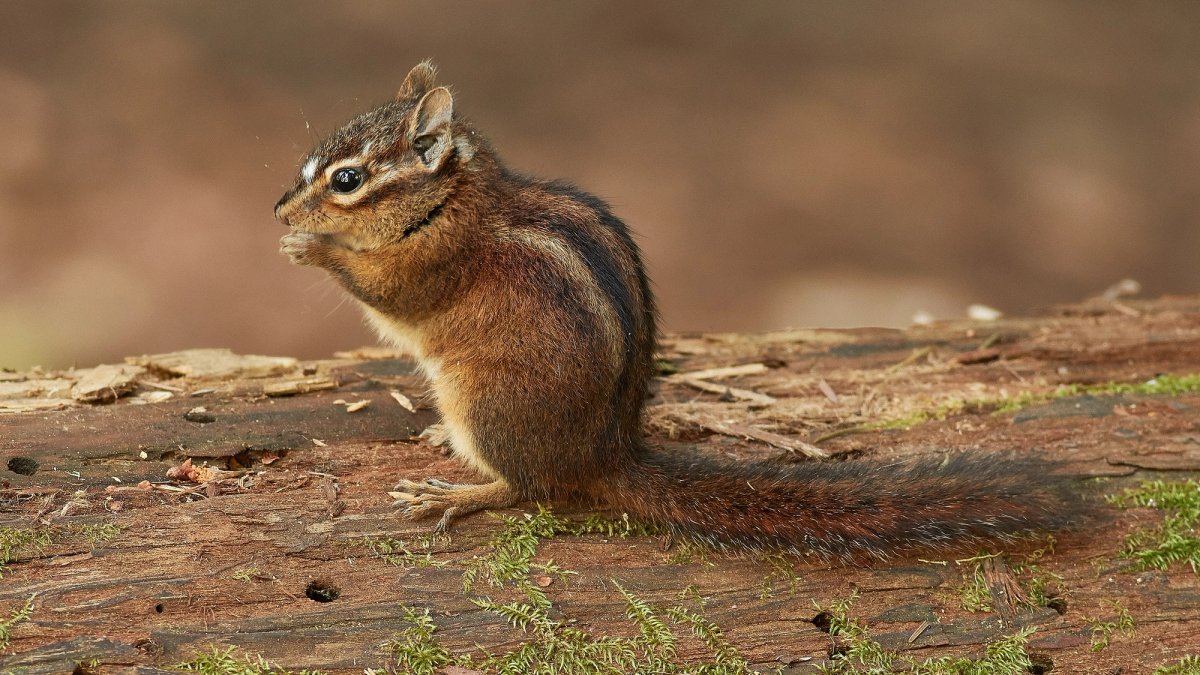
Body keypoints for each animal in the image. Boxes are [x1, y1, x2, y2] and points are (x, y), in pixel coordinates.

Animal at [275, 61, 1082, 561]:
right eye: (312, 164)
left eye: (346, 179)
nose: (279, 208)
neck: (454, 200)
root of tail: (604, 454)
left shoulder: (431, 264)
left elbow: (388, 295)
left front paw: (310, 248)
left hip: (487, 403)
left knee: (530, 490)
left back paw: (457, 492)